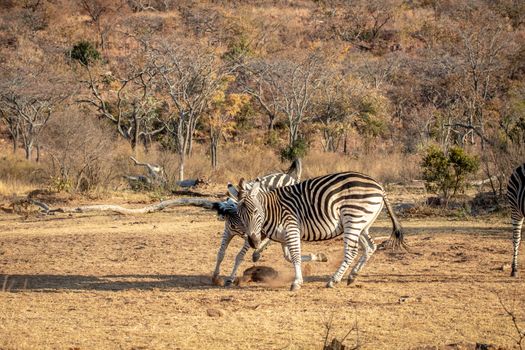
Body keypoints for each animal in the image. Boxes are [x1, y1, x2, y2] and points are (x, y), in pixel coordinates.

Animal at [234, 172, 406, 290]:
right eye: (239, 215)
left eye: (256, 212)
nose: (253, 242)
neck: (272, 210)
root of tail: (379, 186)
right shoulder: (283, 236)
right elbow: (289, 257)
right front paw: (319, 257)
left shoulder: (291, 228)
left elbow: (294, 255)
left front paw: (297, 282)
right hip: (361, 225)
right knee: (370, 247)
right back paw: (352, 276)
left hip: (353, 219)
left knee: (351, 251)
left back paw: (333, 280)